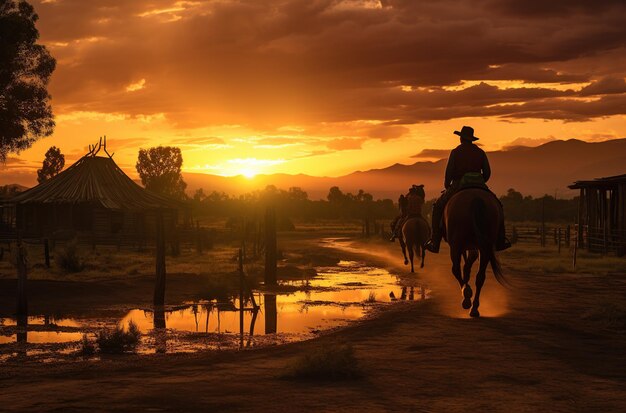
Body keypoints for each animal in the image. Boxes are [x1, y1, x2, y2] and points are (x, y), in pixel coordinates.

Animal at [442, 188, 504, 318]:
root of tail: (476, 198)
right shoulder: (474, 248)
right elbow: (467, 267)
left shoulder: (460, 246)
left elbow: (461, 269)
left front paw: (466, 293)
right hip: (485, 247)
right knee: (480, 277)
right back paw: (474, 308)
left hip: (456, 245)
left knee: (456, 269)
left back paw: (467, 300)